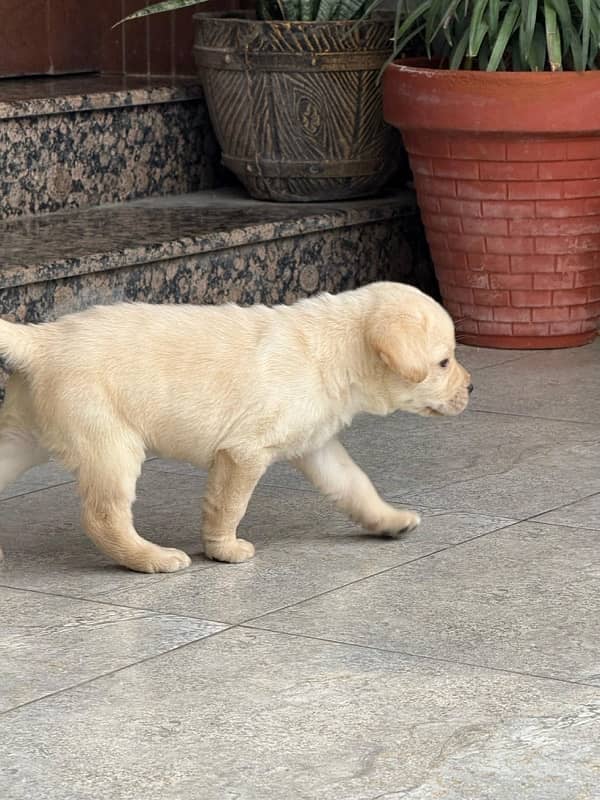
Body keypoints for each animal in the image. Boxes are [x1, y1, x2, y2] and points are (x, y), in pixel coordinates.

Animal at [0, 282, 472, 568]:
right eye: (443, 362)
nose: (472, 387)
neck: (334, 351)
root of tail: (42, 340)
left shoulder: (316, 446)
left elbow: (355, 484)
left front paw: (389, 520)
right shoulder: (244, 452)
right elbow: (229, 505)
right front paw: (224, 549)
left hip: (22, 437)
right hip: (109, 441)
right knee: (104, 516)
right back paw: (152, 558)